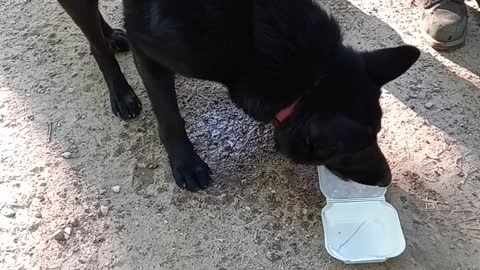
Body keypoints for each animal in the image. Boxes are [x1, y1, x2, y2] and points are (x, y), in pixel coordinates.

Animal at [57, 0, 420, 191]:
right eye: (349, 148)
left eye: (379, 134)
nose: (387, 179)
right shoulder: (151, 53)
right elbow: (169, 117)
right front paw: (186, 163)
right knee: (94, 45)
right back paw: (120, 91)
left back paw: (112, 34)